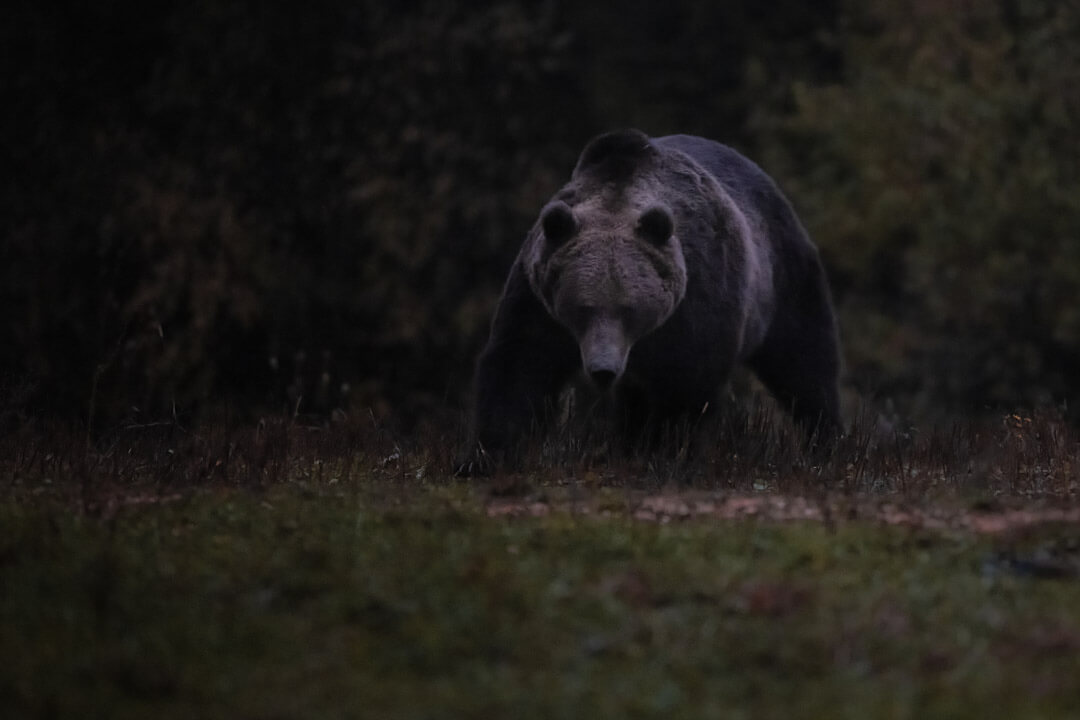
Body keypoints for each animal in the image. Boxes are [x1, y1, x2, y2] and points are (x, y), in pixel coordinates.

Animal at [457, 129, 841, 475]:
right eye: (582, 309)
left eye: (628, 310)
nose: (603, 369)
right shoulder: (538, 298)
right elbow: (519, 363)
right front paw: (489, 456)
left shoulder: (699, 296)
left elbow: (689, 380)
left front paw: (670, 453)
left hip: (782, 277)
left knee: (804, 362)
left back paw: (826, 442)